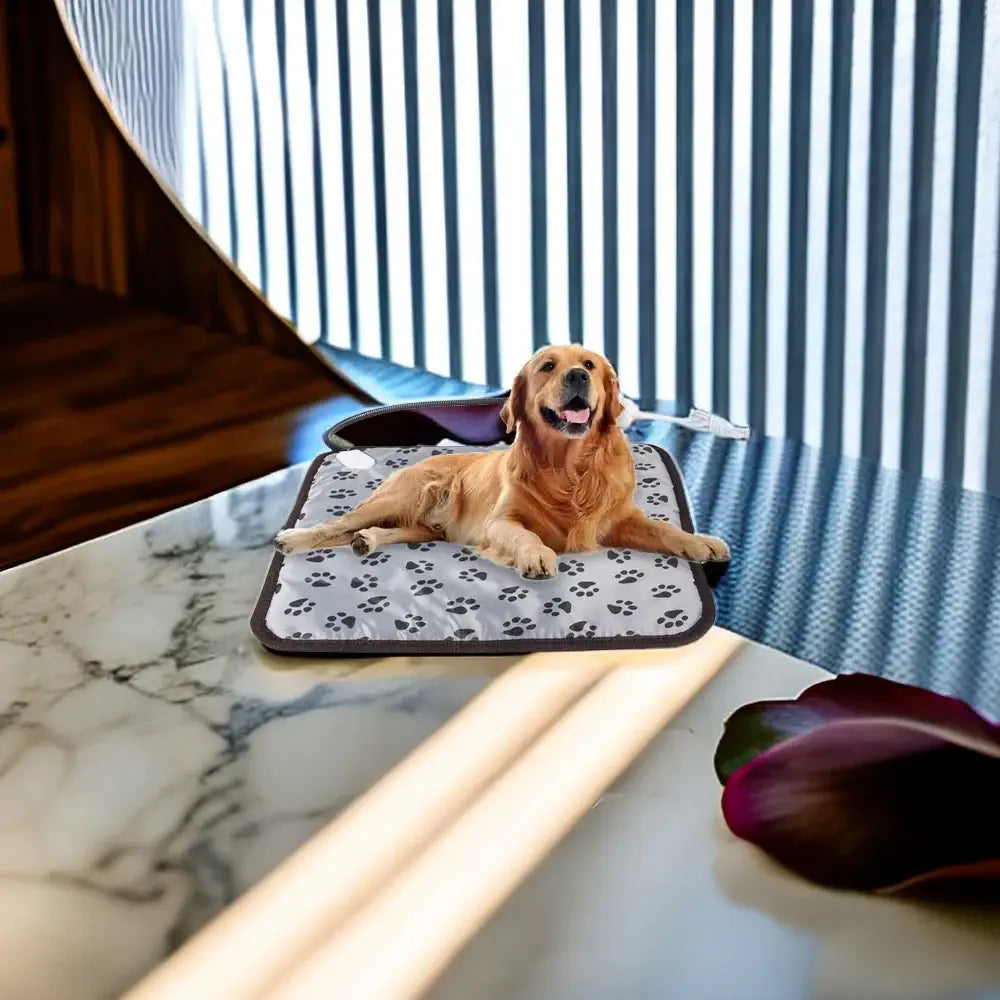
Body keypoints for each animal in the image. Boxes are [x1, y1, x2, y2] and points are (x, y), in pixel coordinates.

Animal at [278, 346, 732, 576]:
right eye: (548, 366)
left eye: (588, 364)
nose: (578, 376)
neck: (569, 467)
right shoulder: (501, 522)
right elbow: (522, 536)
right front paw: (536, 556)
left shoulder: (619, 518)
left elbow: (664, 529)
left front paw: (702, 542)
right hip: (402, 496)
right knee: (337, 524)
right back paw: (294, 538)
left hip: (423, 527)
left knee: (381, 531)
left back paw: (366, 540)